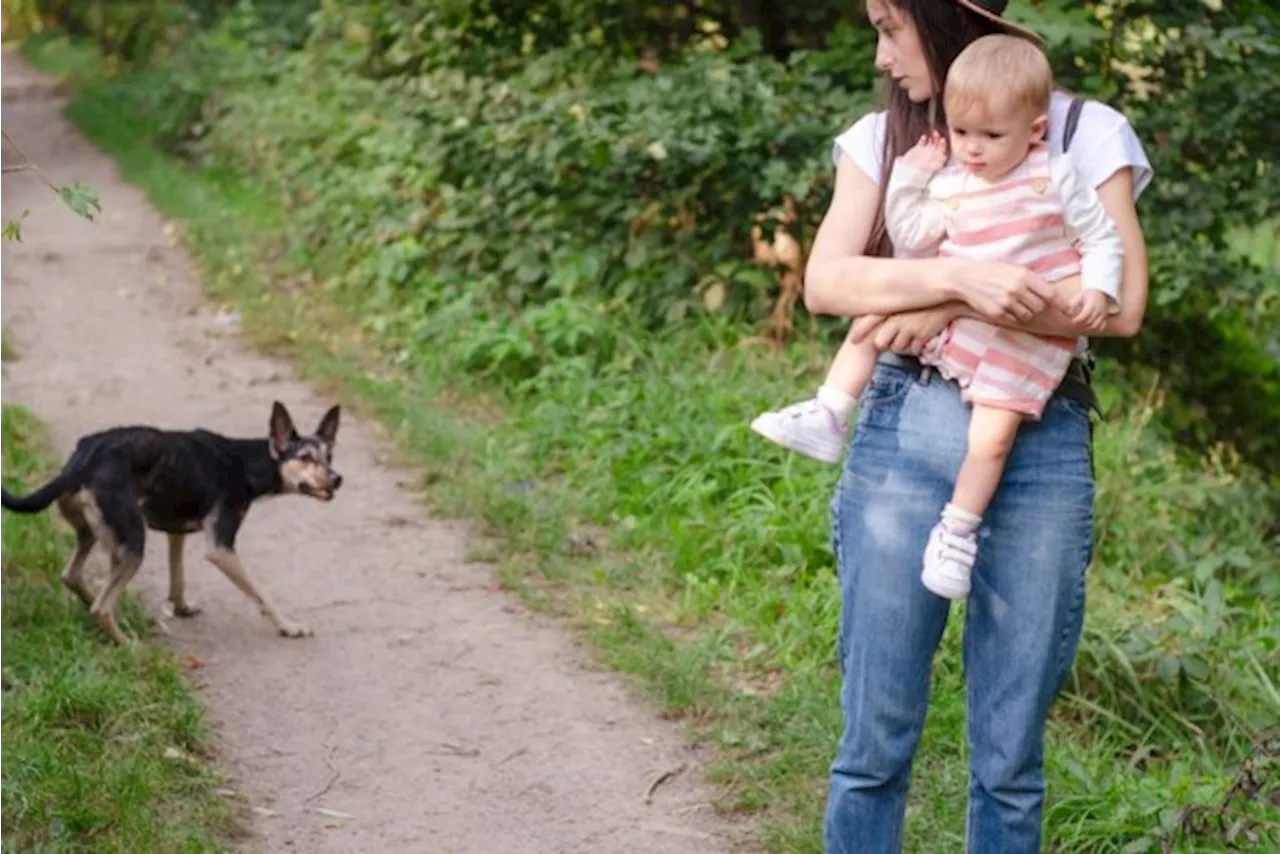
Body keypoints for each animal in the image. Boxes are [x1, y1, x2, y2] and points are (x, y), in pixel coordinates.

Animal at [0, 404, 343, 645]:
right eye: (306, 458)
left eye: (329, 456)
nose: (338, 478)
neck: (246, 463)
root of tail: (82, 460)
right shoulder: (221, 548)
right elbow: (262, 592)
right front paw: (289, 626)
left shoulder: (176, 533)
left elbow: (178, 578)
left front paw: (181, 608)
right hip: (131, 544)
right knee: (102, 606)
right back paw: (129, 644)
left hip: (97, 534)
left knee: (73, 577)